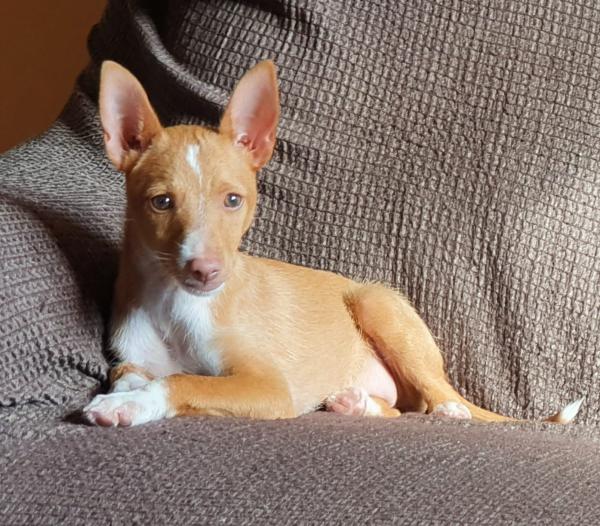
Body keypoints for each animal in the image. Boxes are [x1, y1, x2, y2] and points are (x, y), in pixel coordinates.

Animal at [83, 60, 582, 427]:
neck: (174, 303)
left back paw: (449, 410)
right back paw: (358, 404)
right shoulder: (133, 356)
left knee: (439, 398)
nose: (206, 271)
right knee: (403, 408)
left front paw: (129, 405)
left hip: (377, 304)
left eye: (232, 200)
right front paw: (126, 393)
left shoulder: (269, 386)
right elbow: (128, 372)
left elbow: (185, 382)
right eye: (162, 202)